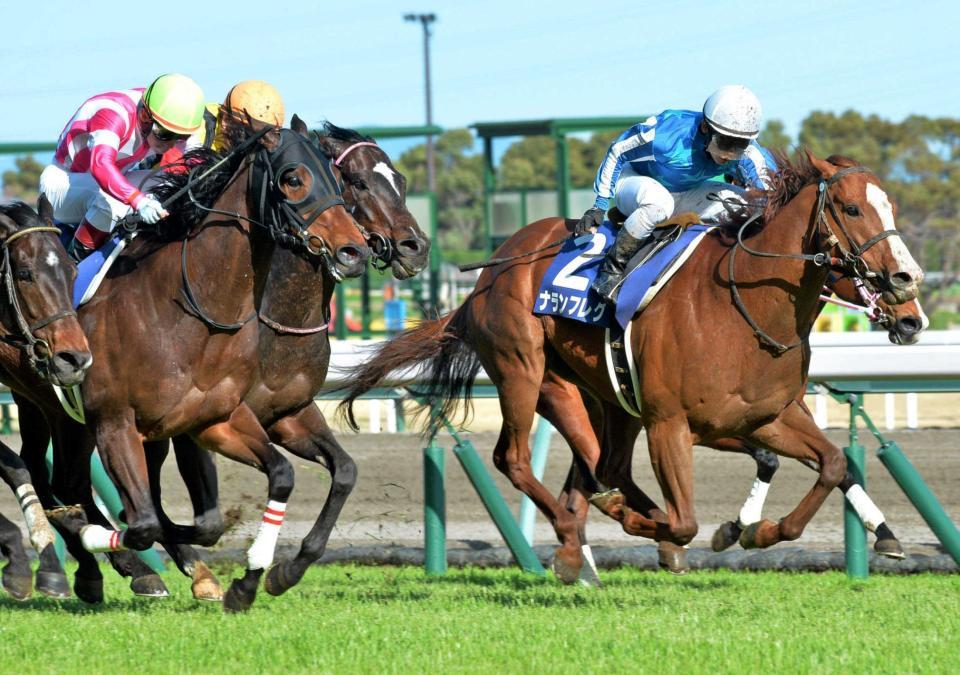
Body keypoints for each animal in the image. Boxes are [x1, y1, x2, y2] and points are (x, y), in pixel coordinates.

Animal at [342, 152, 928, 580]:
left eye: (892, 207)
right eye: (852, 209)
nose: (909, 292)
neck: (745, 307)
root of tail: (489, 273)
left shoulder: (766, 416)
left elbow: (830, 464)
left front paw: (760, 531)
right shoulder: (672, 424)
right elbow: (686, 521)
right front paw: (681, 529)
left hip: (603, 399)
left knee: (605, 466)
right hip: (525, 372)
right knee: (520, 459)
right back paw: (578, 535)